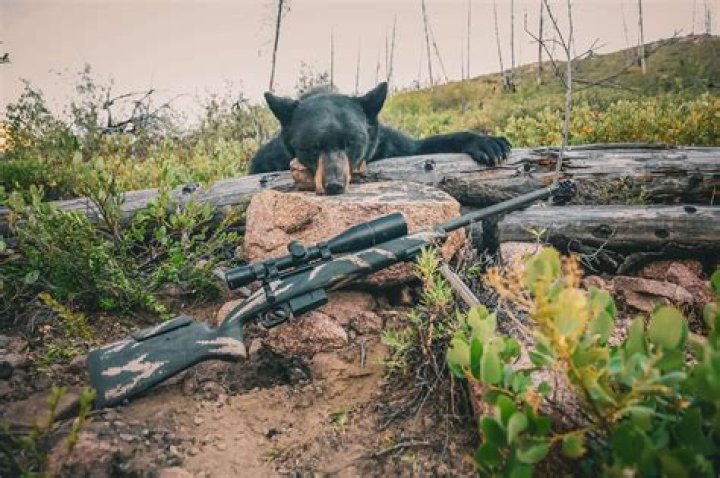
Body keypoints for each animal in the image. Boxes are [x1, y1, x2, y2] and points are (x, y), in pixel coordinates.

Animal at [249, 82, 511, 195]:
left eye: (351, 143)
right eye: (313, 147)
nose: (333, 184)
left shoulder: (390, 143)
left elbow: (425, 144)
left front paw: (490, 143)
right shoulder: (267, 159)